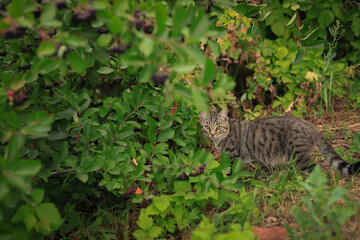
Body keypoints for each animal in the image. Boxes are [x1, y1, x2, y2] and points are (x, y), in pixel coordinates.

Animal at [200, 109, 360, 174]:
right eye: (207, 126)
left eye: (218, 127)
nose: (212, 134)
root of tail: (306, 123)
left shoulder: (233, 157)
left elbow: (230, 173)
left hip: (300, 155)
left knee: (316, 171)